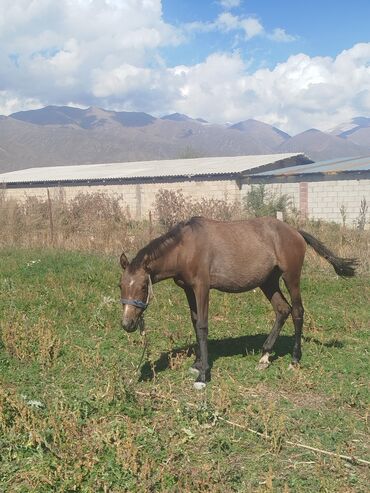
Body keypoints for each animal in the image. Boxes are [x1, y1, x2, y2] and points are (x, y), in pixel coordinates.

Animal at [118, 215, 356, 388]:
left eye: (143, 286)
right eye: (120, 285)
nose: (128, 324)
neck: (185, 248)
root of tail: (296, 231)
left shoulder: (202, 288)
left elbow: (202, 326)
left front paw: (203, 376)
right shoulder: (188, 289)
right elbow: (194, 323)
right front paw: (197, 364)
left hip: (291, 276)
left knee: (297, 311)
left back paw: (295, 360)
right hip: (268, 281)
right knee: (282, 309)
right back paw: (264, 356)